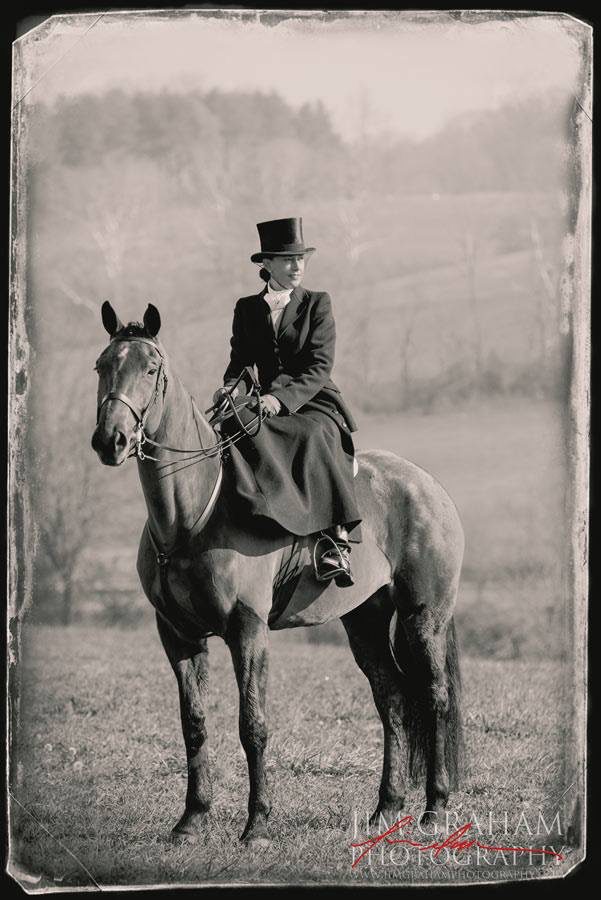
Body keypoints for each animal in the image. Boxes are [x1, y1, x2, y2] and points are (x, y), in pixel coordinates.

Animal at [90, 306, 464, 848]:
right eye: (102, 365)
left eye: (151, 369)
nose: (111, 441)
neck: (192, 512)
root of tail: (428, 485)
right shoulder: (178, 635)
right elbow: (194, 724)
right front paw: (192, 819)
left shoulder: (248, 631)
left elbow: (253, 725)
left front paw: (258, 824)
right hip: (365, 622)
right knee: (392, 698)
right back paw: (385, 809)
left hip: (423, 619)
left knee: (435, 698)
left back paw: (435, 809)